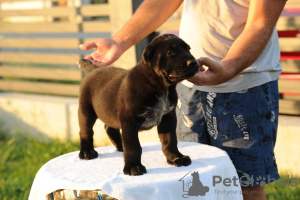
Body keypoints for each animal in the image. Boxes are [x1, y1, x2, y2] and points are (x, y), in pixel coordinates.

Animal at [78, 34, 198, 175]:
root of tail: (91, 69)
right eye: (171, 52)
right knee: (86, 131)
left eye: (188, 49)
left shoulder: (168, 117)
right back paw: (87, 152)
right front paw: (133, 167)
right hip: (86, 111)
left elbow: (170, 141)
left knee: (109, 127)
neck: (160, 87)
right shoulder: (129, 121)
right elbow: (133, 146)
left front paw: (176, 158)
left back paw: (120, 146)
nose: (193, 62)